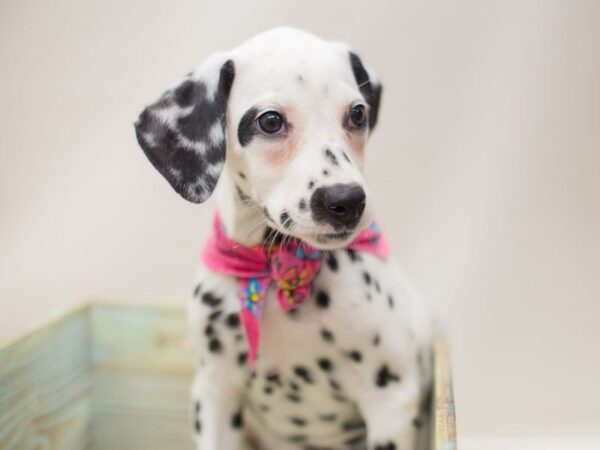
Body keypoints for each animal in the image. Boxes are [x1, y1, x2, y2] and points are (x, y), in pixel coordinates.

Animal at [136, 27, 432, 450]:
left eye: (357, 113)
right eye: (271, 121)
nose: (346, 201)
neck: (280, 271)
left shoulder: (390, 399)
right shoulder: (214, 393)